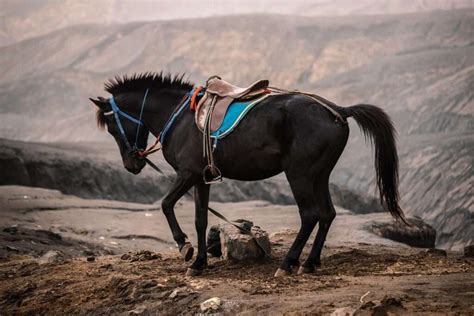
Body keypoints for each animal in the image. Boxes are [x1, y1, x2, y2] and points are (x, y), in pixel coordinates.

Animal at [91, 73, 408, 276]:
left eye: (111, 126)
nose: (132, 165)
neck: (179, 116)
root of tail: (338, 111)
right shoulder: (201, 178)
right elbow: (201, 219)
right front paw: (199, 264)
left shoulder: (187, 173)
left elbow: (166, 204)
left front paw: (185, 248)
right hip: (320, 174)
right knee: (328, 214)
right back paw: (310, 263)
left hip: (300, 174)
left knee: (310, 215)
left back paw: (288, 264)